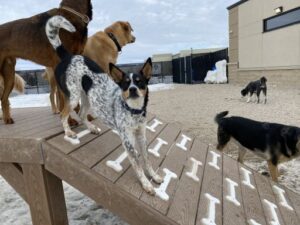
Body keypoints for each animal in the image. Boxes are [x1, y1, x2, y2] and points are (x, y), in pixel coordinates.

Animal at [45, 15, 162, 194]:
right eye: (125, 84)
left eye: (140, 82)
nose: (132, 89)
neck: (133, 110)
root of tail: (68, 56)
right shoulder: (128, 140)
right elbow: (137, 164)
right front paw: (146, 184)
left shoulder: (141, 136)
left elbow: (146, 159)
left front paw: (153, 176)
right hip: (73, 97)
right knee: (63, 113)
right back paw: (69, 132)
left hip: (87, 98)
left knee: (81, 115)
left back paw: (91, 128)